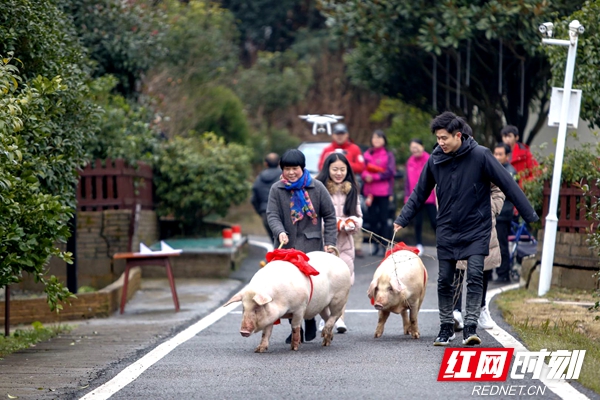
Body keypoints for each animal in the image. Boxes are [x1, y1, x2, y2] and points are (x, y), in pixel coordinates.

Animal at [224, 252, 352, 352]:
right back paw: (326, 342)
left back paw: (324, 336)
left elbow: (295, 327)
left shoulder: (300, 308)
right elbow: (266, 332)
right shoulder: (271, 315)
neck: (280, 302)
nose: (243, 331)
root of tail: (339, 259)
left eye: (257, 308)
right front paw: (259, 350)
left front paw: (294, 348)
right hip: (323, 305)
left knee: (336, 314)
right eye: (243, 308)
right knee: (328, 317)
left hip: (340, 297)